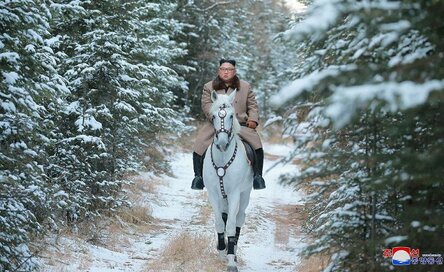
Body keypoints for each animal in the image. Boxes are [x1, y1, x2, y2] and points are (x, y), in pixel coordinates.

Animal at [202, 91, 253, 272]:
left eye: (232, 115)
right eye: (214, 116)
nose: (223, 143)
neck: (223, 158)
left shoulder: (234, 194)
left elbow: (231, 225)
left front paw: (231, 260)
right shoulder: (213, 194)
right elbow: (219, 222)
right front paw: (222, 251)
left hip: (245, 195)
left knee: (239, 219)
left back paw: (234, 251)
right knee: (224, 217)